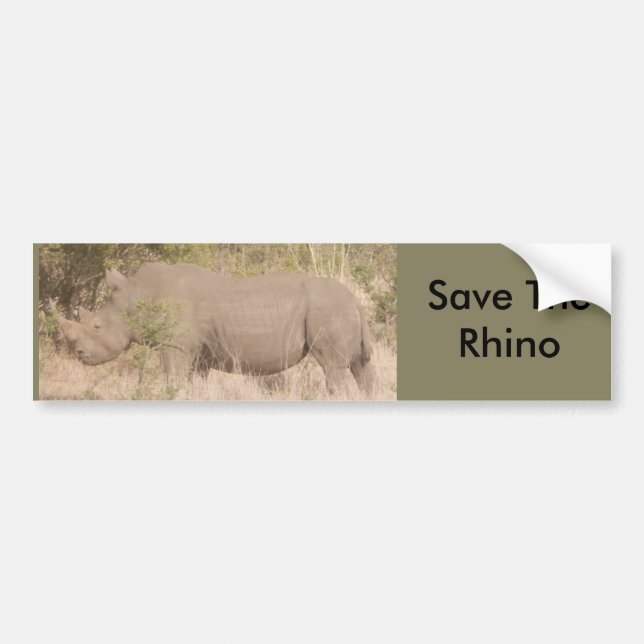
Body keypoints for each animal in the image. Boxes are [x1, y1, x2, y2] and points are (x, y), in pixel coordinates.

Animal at [57, 263, 375, 396]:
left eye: (97, 326)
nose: (80, 354)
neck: (137, 294)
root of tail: (354, 299)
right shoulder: (199, 353)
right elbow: (193, 383)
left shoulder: (174, 345)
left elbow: (173, 378)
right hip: (341, 310)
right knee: (360, 367)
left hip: (329, 309)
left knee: (334, 368)